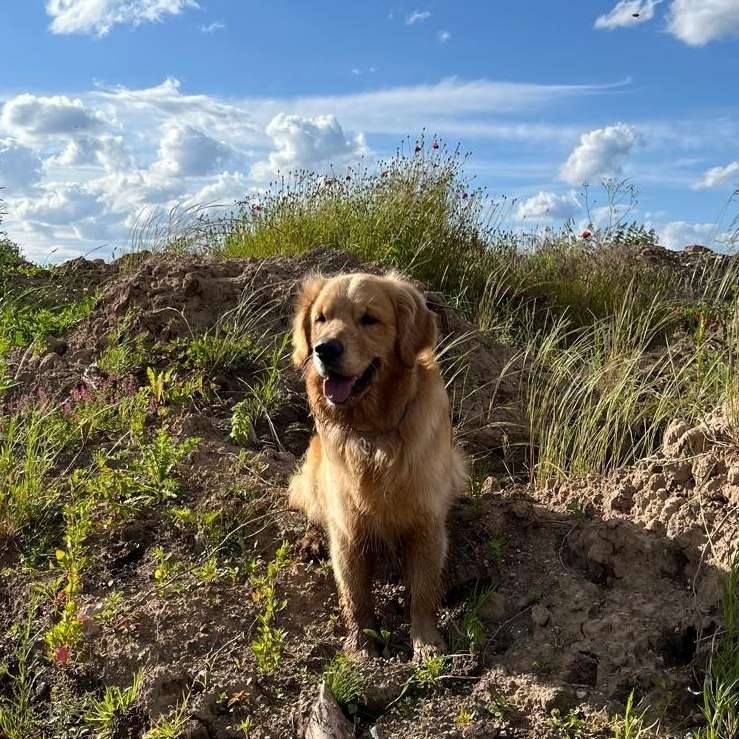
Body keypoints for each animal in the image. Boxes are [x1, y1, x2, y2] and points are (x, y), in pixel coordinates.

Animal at [286, 272, 466, 660]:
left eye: (369, 319)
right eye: (321, 319)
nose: (325, 349)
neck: (374, 433)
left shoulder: (426, 522)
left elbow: (423, 591)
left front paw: (426, 642)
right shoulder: (347, 529)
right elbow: (355, 595)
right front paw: (361, 647)